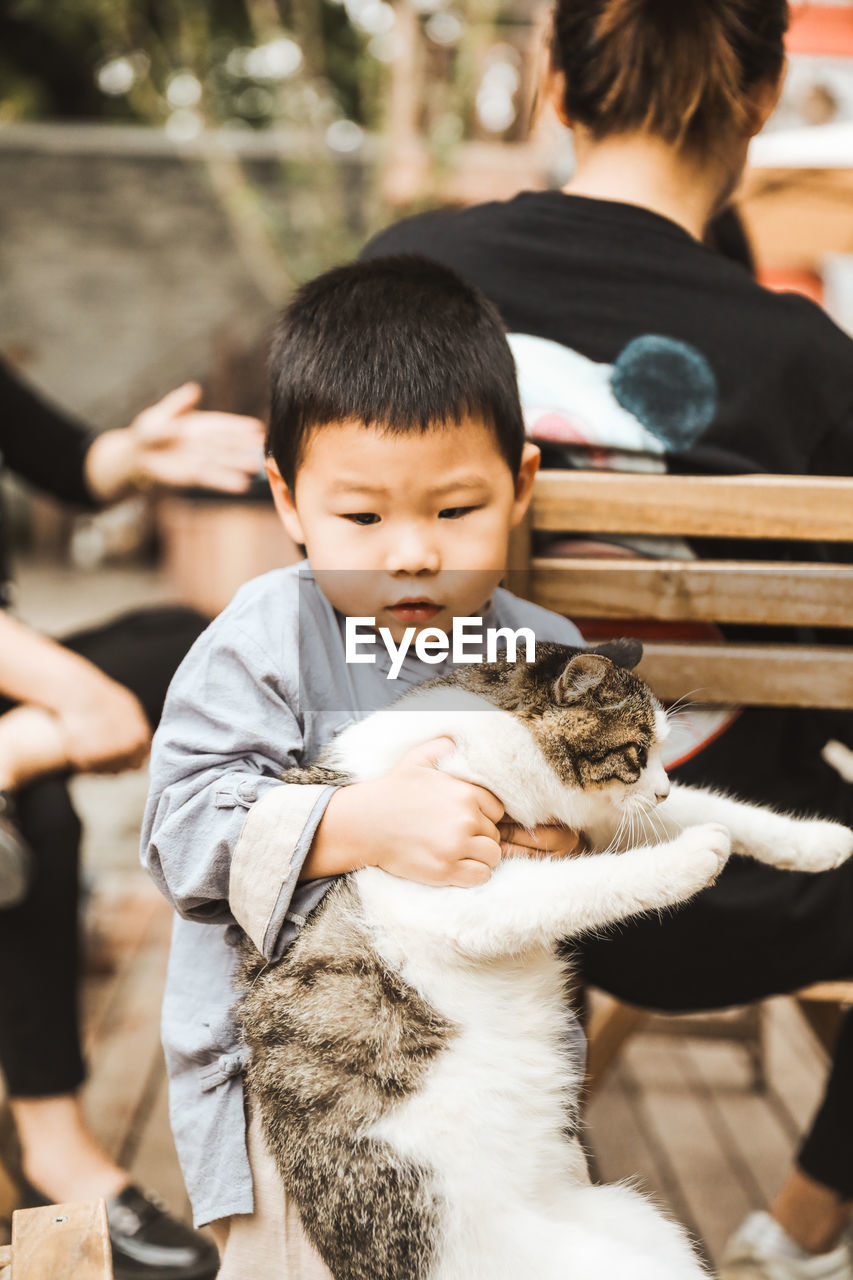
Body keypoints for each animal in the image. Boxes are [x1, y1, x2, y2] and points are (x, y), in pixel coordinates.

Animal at [234, 640, 850, 1280]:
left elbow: (724, 808)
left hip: (642, 1227)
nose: (661, 790)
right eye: (637, 752)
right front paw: (698, 853)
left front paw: (821, 842)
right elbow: (588, 882)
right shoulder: (459, 893)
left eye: (662, 753)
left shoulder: (602, 815)